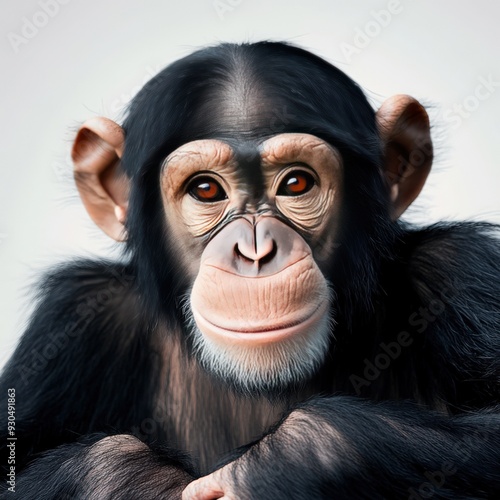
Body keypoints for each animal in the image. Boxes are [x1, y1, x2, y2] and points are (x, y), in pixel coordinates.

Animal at [0, 41, 500, 498]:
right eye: (205, 190)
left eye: (297, 183)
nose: (255, 252)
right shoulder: (75, 318)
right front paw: (131, 479)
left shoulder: (460, 270)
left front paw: (287, 460)